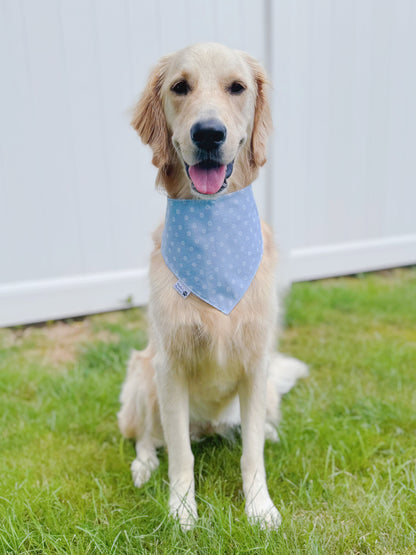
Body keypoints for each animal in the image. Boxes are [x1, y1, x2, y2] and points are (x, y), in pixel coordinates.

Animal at [117, 42, 306, 528]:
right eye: (180, 87)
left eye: (237, 87)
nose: (207, 134)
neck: (214, 228)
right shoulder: (168, 366)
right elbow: (180, 454)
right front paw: (182, 511)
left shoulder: (256, 362)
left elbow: (252, 453)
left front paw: (260, 508)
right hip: (142, 376)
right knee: (147, 436)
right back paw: (143, 465)